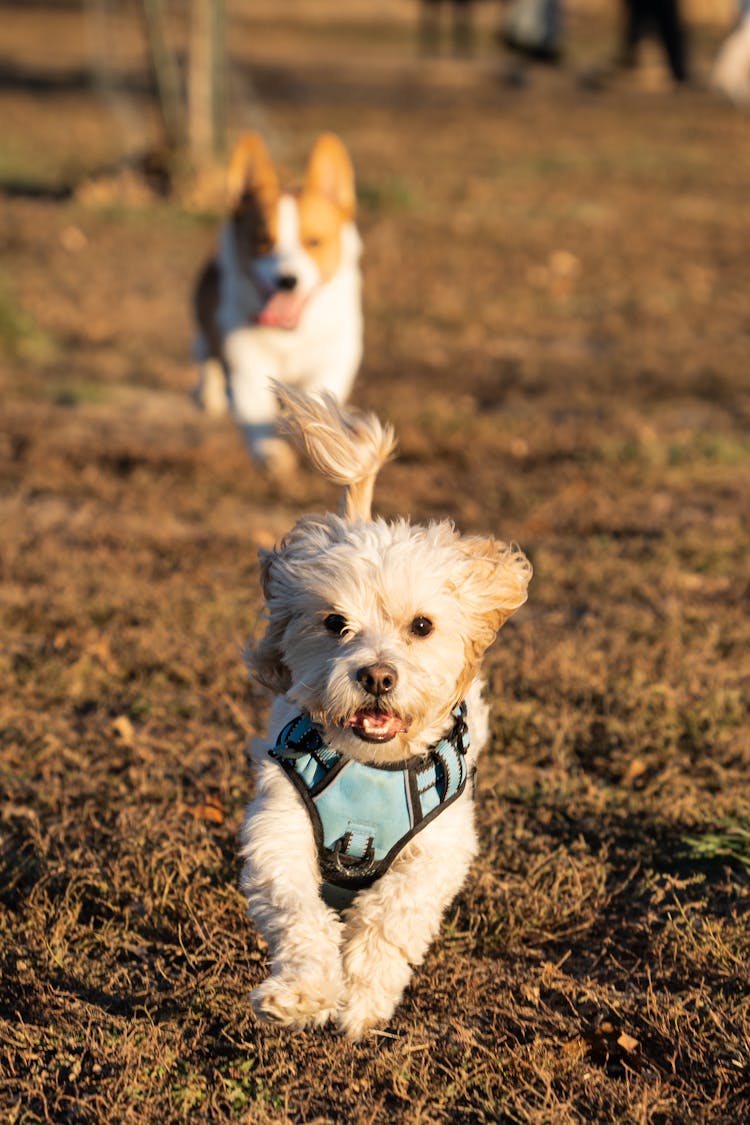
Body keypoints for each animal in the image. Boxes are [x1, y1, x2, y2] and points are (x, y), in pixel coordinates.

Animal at [193, 132, 364, 474]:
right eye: (262, 240)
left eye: (314, 242)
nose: (287, 280)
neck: (289, 335)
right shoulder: (245, 362)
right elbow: (253, 408)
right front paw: (271, 454)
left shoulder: (335, 355)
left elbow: (318, 396)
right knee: (207, 358)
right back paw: (210, 394)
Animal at [240, 387, 532, 1035]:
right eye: (335, 623)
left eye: (421, 626)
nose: (376, 675)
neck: (372, 766)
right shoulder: (279, 829)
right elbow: (298, 913)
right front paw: (304, 993)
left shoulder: (441, 848)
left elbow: (391, 917)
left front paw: (362, 1000)